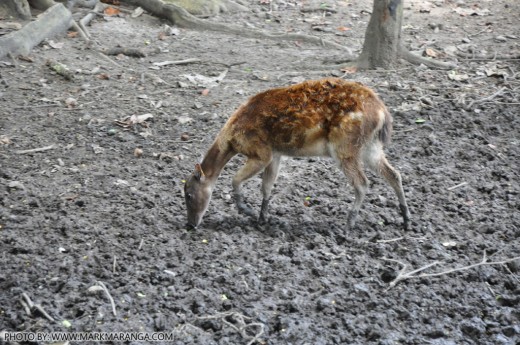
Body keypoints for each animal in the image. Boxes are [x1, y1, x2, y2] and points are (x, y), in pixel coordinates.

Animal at [184, 77, 410, 230]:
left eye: (188, 194)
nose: (191, 224)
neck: (232, 140)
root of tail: (383, 113)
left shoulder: (261, 151)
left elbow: (235, 179)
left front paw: (246, 210)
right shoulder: (276, 154)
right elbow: (267, 186)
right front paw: (262, 218)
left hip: (345, 145)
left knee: (362, 183)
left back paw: (349, 223)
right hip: (371, 146)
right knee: (394, 174)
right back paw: (406, 219)